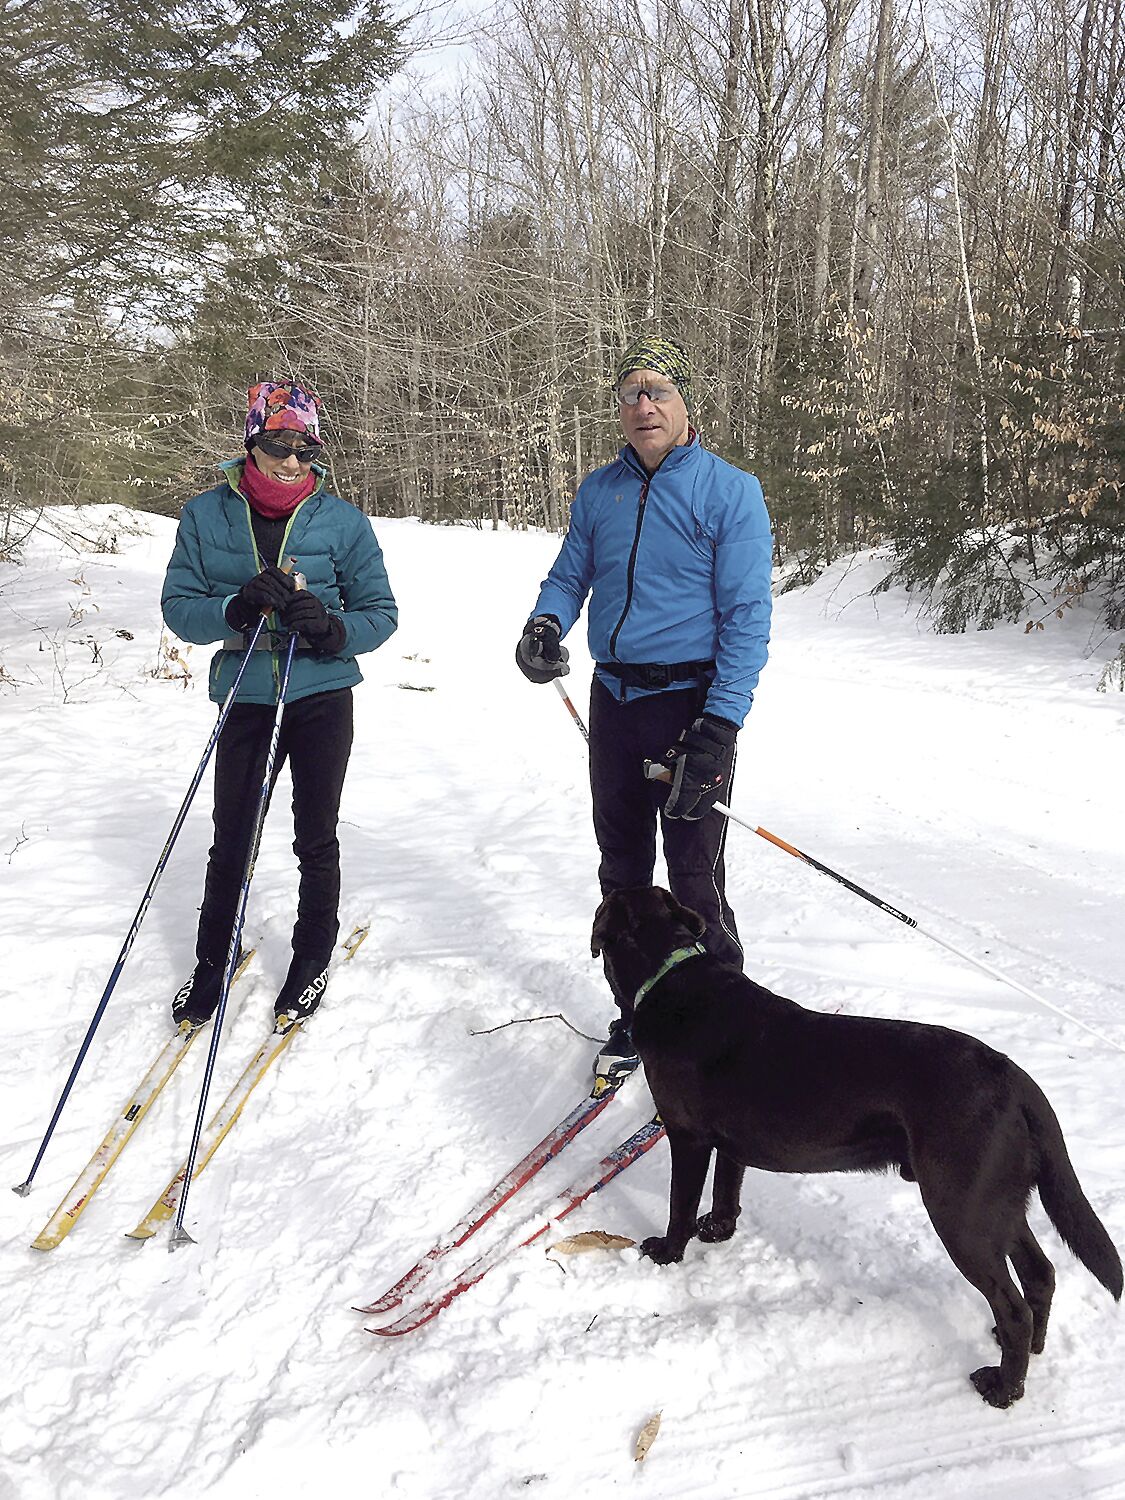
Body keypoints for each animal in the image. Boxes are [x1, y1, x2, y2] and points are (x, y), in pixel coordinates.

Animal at [594, 882, 1122, 1398]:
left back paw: (1003, 1388)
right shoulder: (729, 1143)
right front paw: (719, 1229)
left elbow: (680, 1205)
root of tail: (1017, 1079)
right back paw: (1030, 1352)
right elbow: (728, 1187)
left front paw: (667, 1252)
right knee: (1041, 1275)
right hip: (997, 1204)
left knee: (1013, 1306)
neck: (668, 972)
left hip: (962, 1211)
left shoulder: (687, 1136)